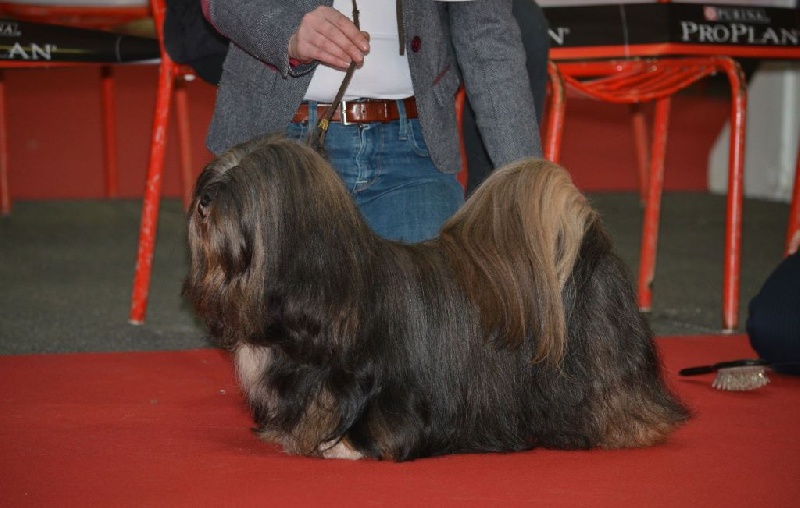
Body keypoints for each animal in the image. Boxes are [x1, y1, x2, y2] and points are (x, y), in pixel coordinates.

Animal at [181, 134, 688, 460]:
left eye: (240, 187)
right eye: (213, 177)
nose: (203, 199)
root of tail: (591, 244)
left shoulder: (379, 389)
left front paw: (343, 446)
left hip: (598, 363)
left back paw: (630, 426)